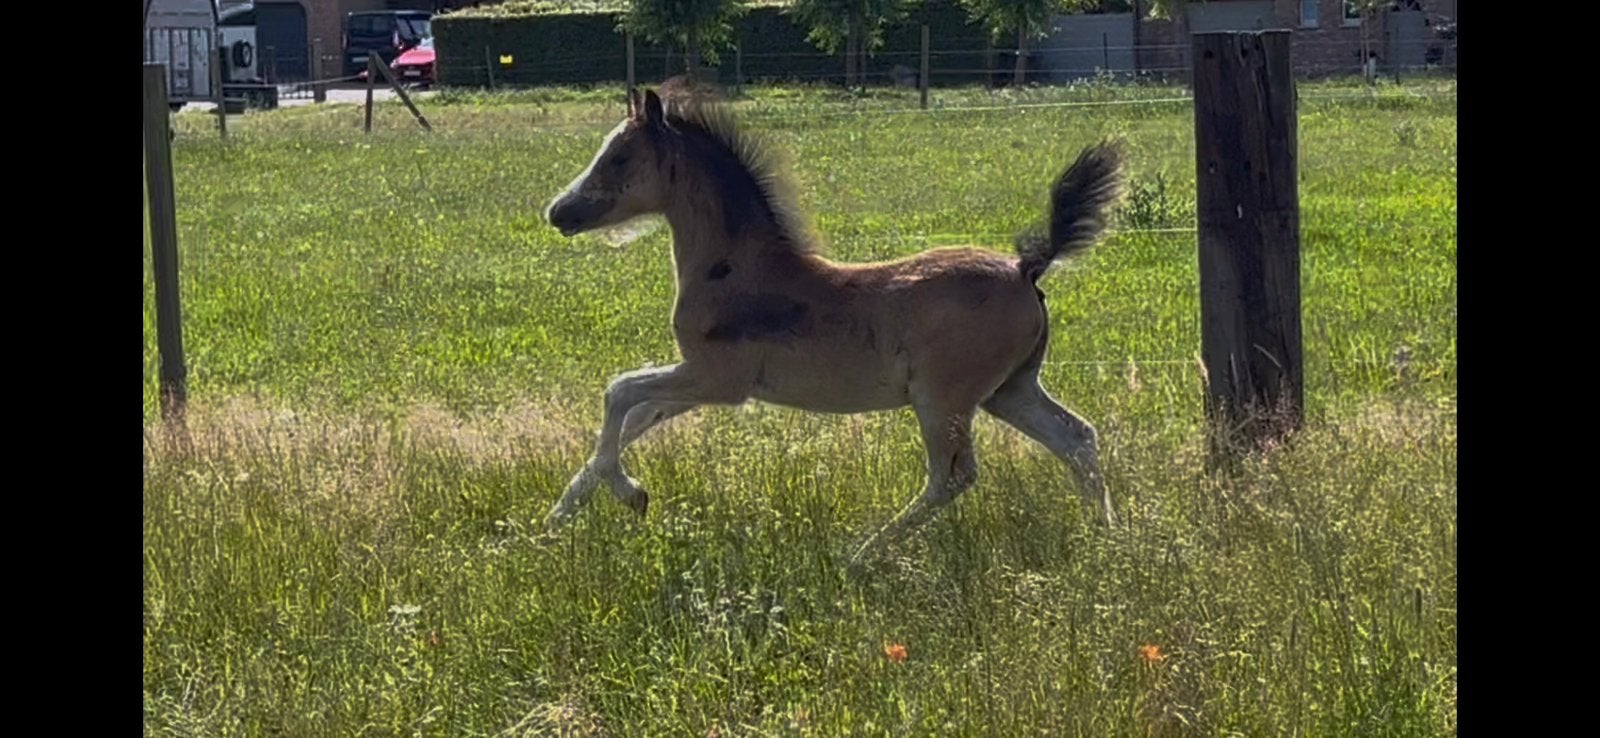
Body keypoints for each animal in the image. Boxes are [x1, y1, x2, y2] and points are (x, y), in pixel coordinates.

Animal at [544, 88, 1126, 568]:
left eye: (619, 156)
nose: (558, 211)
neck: (736, 269)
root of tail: (1027, 267)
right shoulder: (696, 382)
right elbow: (634, 417)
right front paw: (552, 521)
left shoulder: (717, 379)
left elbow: (619, 391)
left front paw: (632, 494)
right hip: (1010, 390)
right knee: (1076, 438)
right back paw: (1106, 537)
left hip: (943, 398)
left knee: (953, 475)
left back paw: (861, 555)